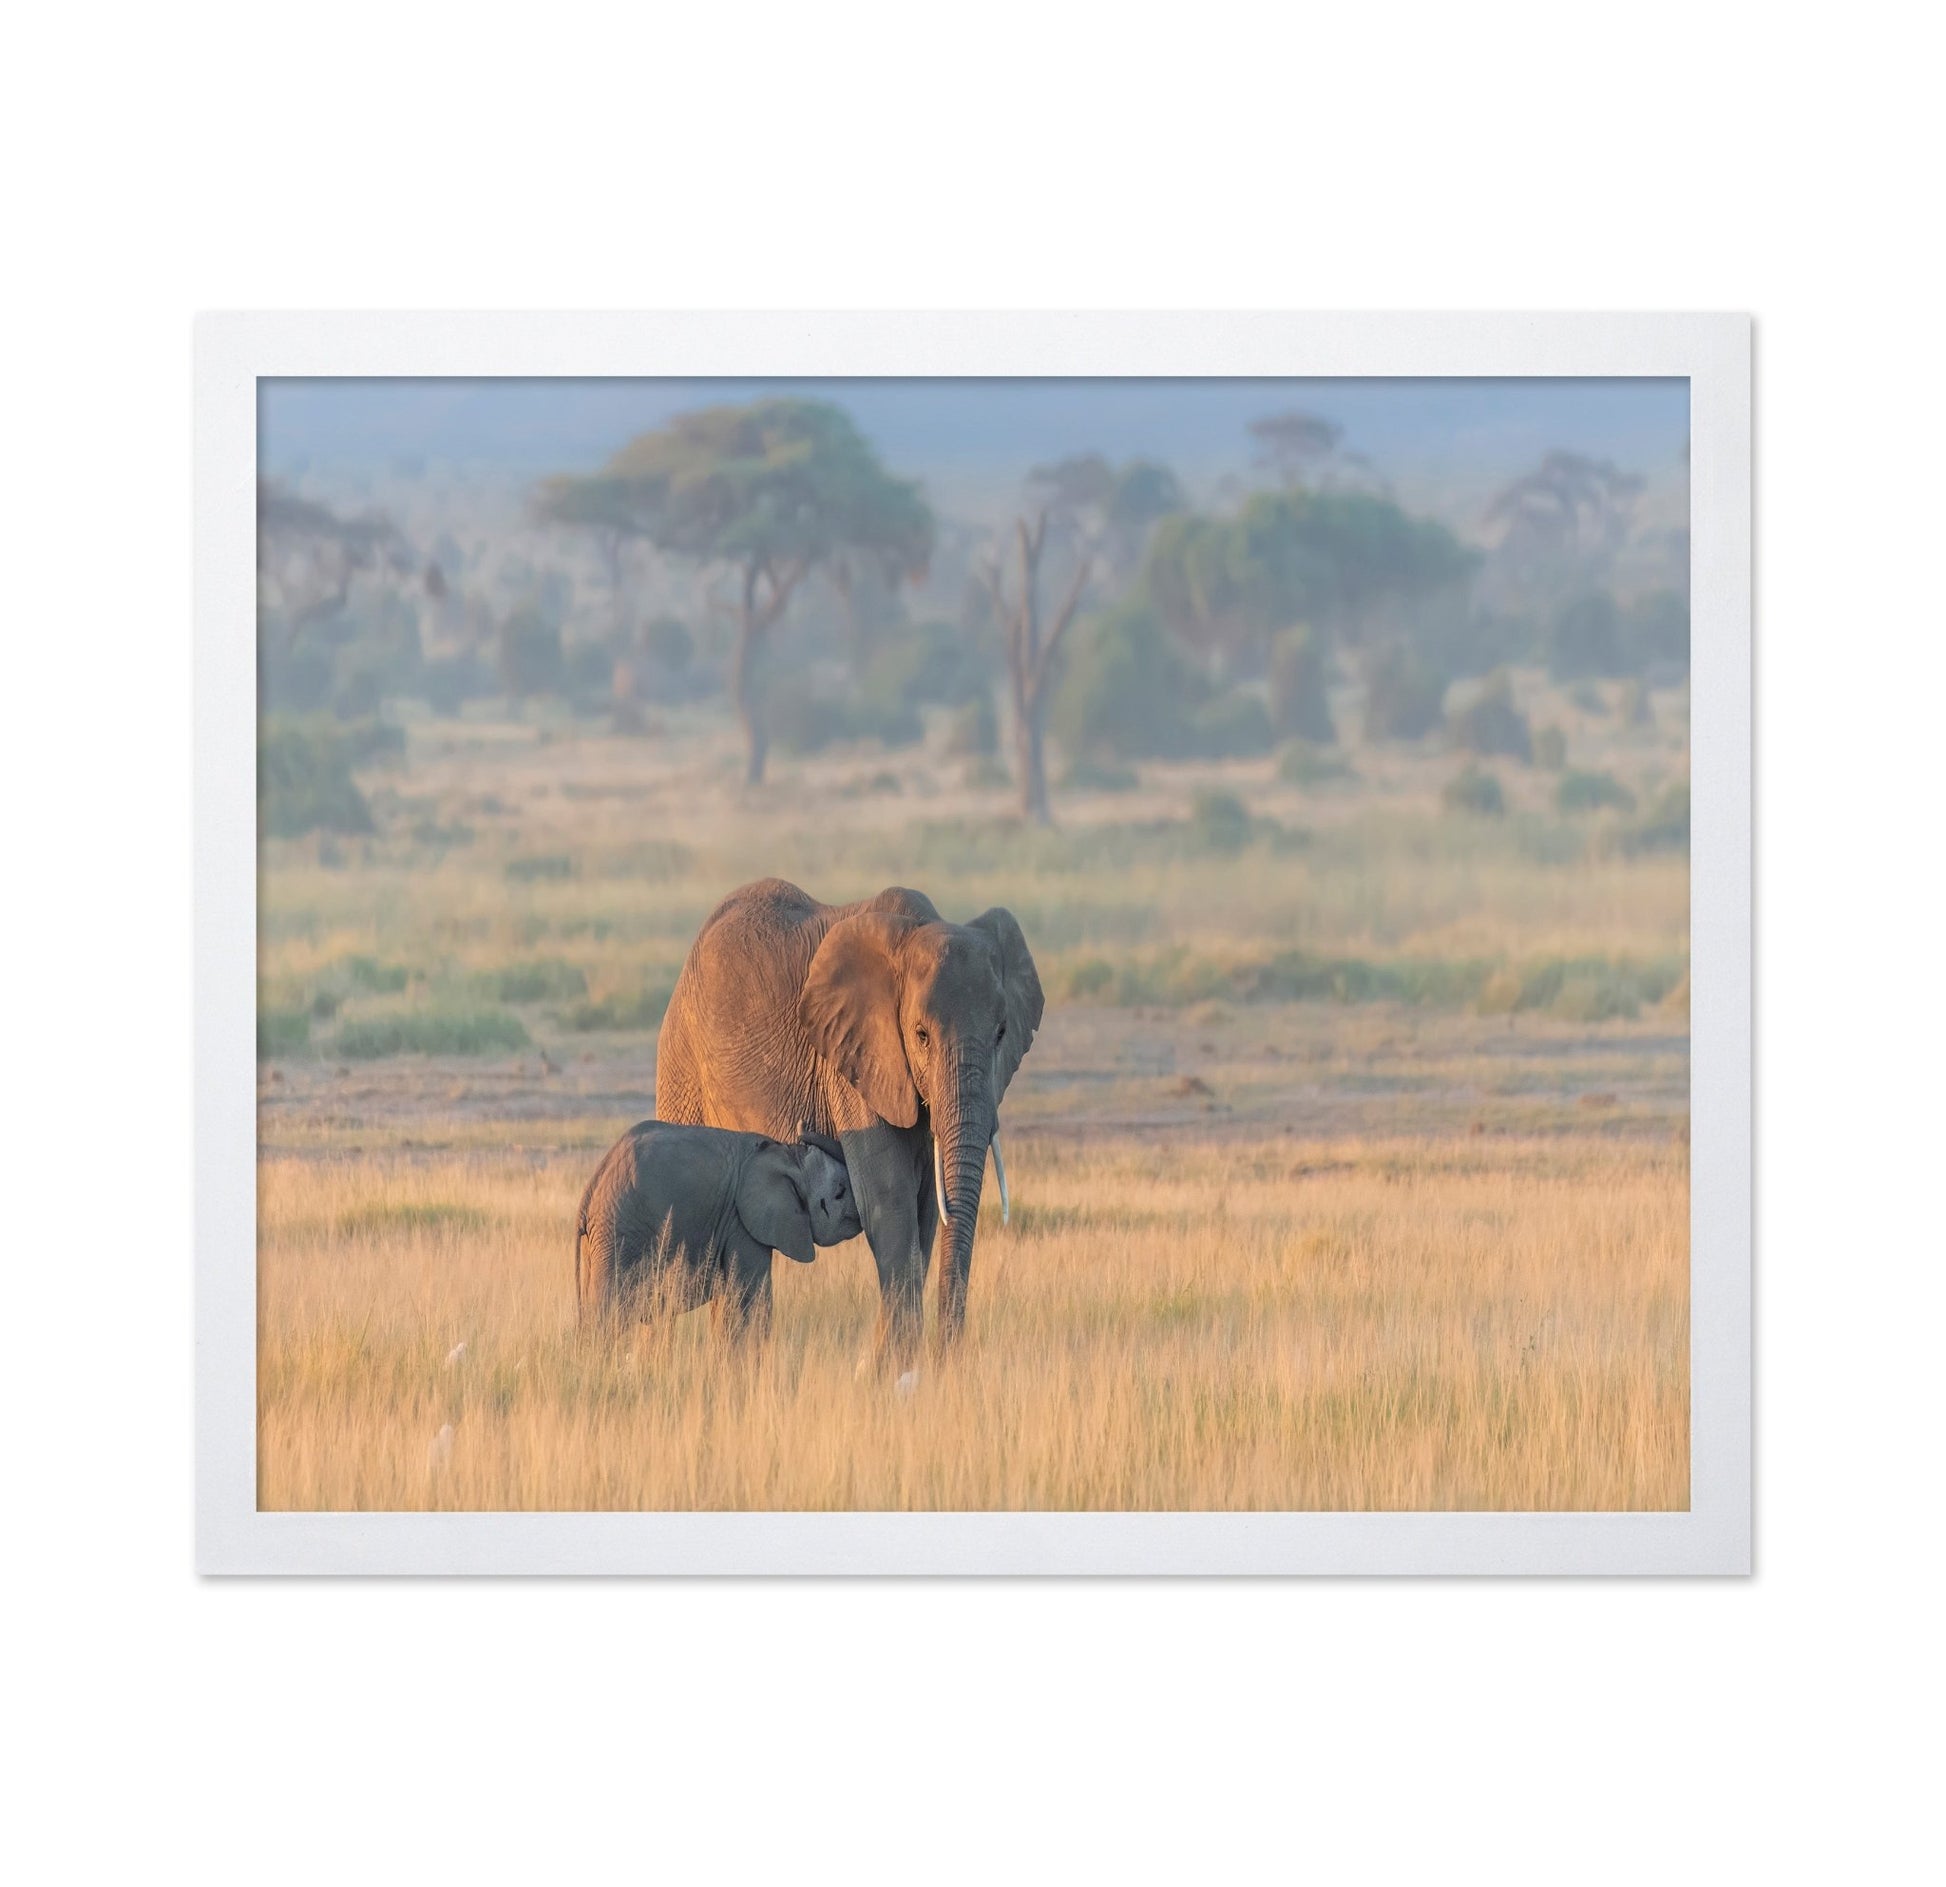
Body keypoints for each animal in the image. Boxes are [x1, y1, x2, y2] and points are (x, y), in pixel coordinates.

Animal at [574, 1120, 860, 1339]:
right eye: (840, 1192)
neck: (789, 1157)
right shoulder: (741, 1222)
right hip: (621, 1232)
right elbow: (752, 1298)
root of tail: (590, 1190)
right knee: (607, 1315)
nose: (804, 1125)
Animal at [655, 879, 1043, 1371]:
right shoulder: (853, 1057)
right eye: (920, 1036)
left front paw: (888, 1366)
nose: (947, 1357)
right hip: (681, 1060)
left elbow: (925, 1210)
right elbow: (889, 1200)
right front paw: (894, 1368)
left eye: (1001, 1034)